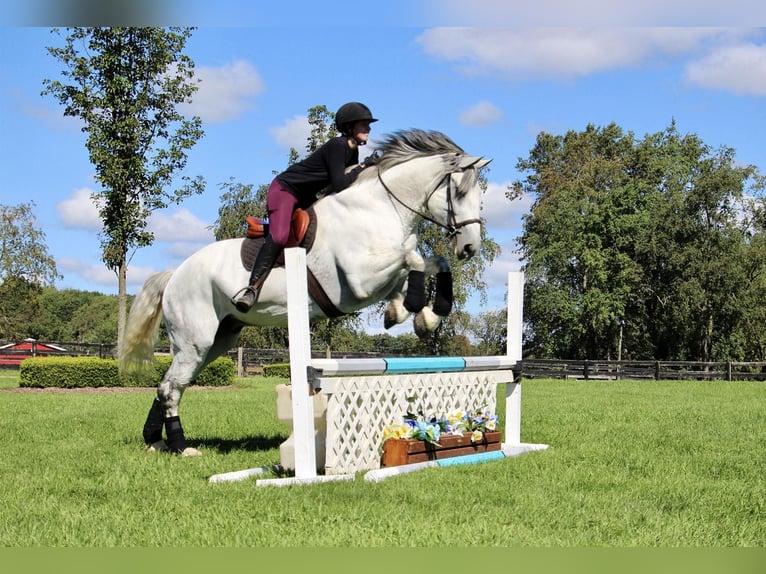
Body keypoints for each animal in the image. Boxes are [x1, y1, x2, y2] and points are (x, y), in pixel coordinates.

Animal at [120, 128, 492, 456]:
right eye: (459, 193)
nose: (470, 247)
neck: (381, 207)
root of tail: (174, 275)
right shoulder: (360, 281)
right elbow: (412, 259)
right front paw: (414, 309)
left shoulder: (383, 275)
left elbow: (431, 262)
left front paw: (421, 314)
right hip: (195, 341)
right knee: (171, 387)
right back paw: (182, 447)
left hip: (217, 341)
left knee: (170, 384)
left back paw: (155, 441)